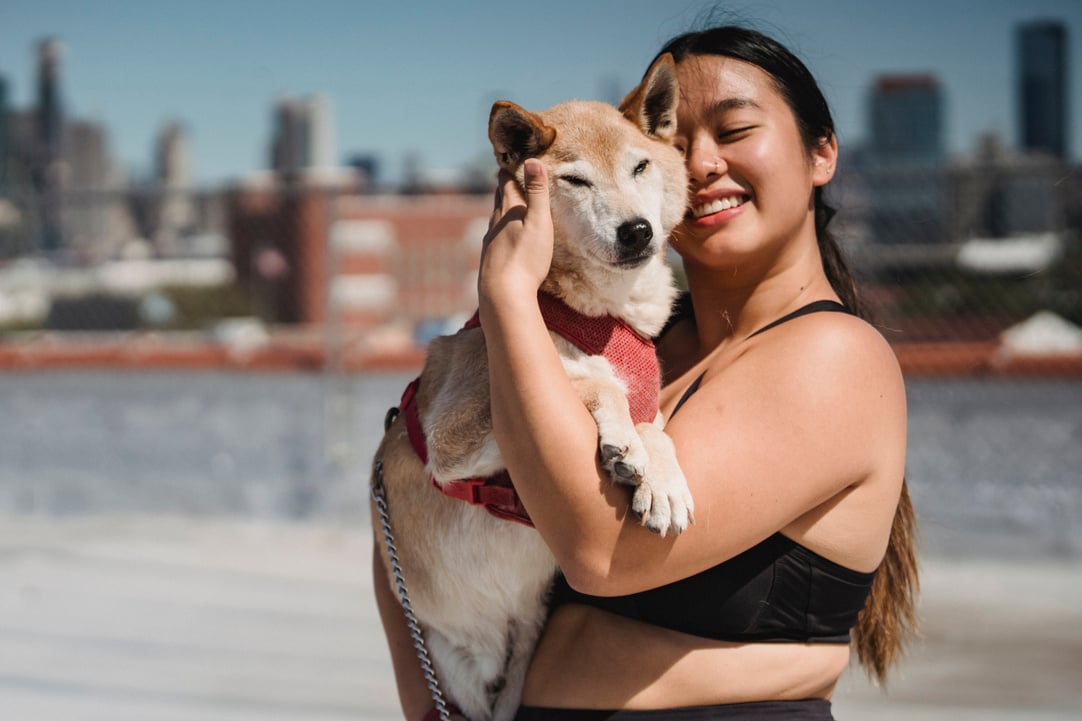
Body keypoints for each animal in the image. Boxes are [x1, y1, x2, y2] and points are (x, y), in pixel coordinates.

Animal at [376, 54, 688, 718]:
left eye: (640, 166)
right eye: (575, 181)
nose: (637, 231)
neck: (604, 317)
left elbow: (658, 427)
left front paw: (662, 478)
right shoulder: (451, 437)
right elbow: (592, 384)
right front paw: (622, 438)